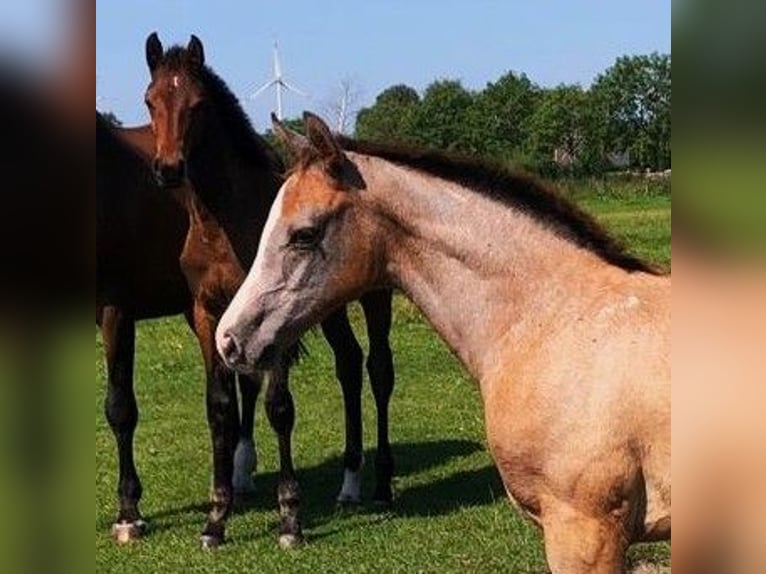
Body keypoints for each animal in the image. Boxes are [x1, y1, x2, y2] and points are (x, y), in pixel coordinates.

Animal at [142, 34, 398, 546]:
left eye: (198, 105)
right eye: (149, 101)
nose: (169, 169)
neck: (222, 222)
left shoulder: (272, 317)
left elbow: (279, 406)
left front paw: (290, 517)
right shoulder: (207, 314)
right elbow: (219, 407)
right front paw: (216, 518)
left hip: (374, 300)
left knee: (379, 370)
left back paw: (380, 485)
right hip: (328, 307)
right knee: (348, 364)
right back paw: (349, 484)